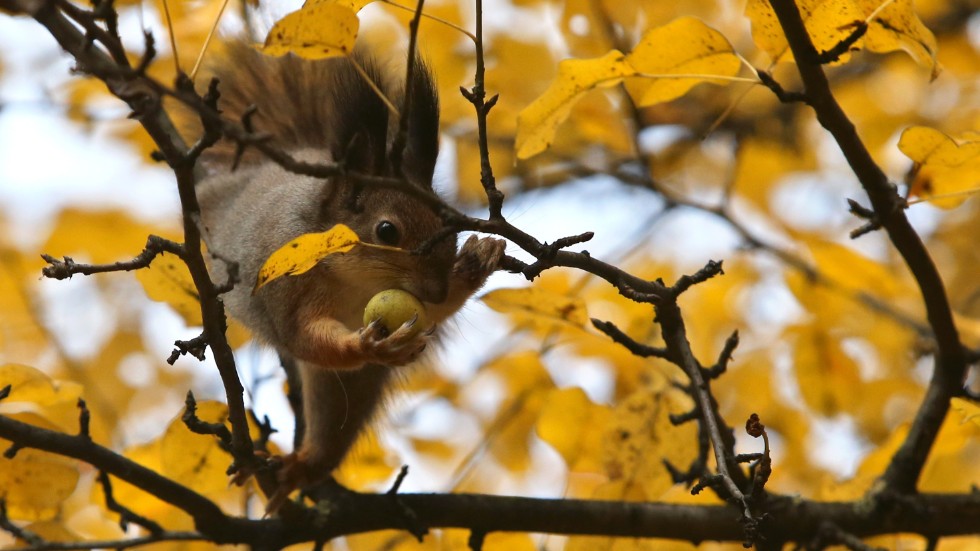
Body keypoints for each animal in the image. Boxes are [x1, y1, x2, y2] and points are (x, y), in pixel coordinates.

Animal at [192, 42, 506, 508]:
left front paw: (474, 264)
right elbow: (305, 338)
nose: (435, 288)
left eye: (448, 223)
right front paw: (366, 343)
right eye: (387, 231)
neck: (357, 283)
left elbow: (437, 310)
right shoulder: (288, 289)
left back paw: (303, 467)